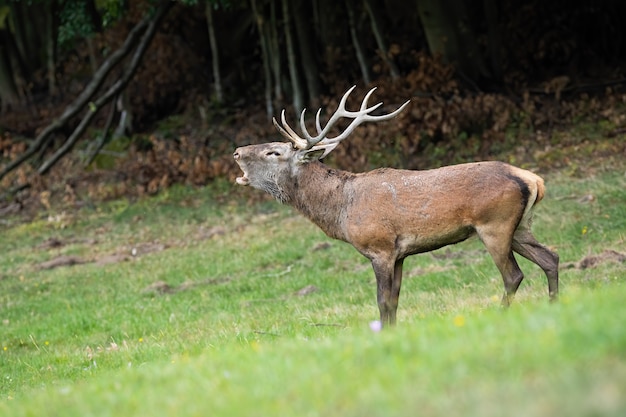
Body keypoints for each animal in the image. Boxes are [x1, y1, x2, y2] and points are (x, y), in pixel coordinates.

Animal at [232, 85, 560, 328]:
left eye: (274, 152)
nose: (236, 151)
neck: (341, 211)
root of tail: (533, 179)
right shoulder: (400, 254)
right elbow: (395, 300)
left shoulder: (380, 247)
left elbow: (382, 300)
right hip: (520, 226)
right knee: (551, 258)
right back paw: (554, 305)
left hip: (494, 224)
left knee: (513, 275)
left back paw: (502, 315)